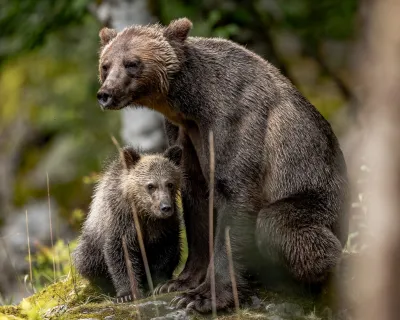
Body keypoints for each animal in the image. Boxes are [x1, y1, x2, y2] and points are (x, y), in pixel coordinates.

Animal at [95, 18, 348, 312]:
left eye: (132, 63)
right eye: (106, 64)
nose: (106, 94)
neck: (192, 104)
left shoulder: (234, 121)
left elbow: (234, 194)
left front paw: (204, 297)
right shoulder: (184, 133)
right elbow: (196, 199)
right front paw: (179, 283)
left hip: (319, 199)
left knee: (278, 224)